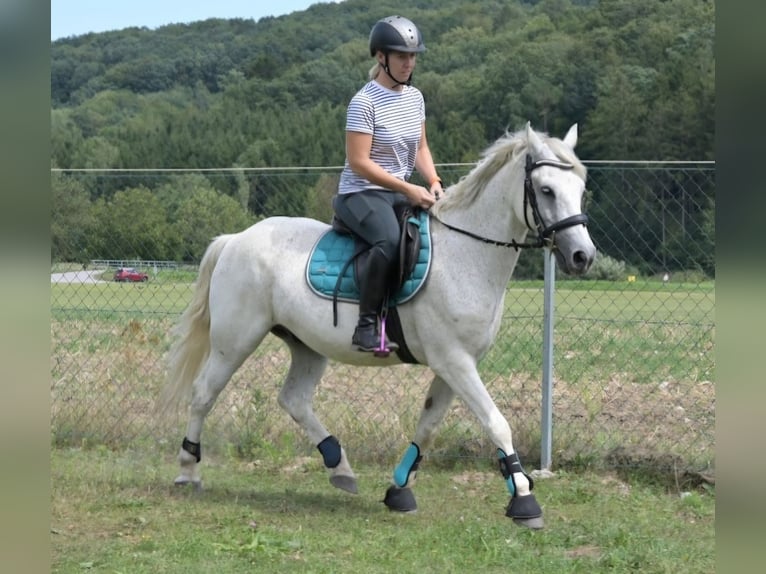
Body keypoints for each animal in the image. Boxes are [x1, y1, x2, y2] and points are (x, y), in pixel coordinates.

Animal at [159, 121, 596, 532]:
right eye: (545, 190)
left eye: (580, 187)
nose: (582, 256)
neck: (465, 254)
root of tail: (235, 239)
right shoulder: (454, 361)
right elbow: (497, 423)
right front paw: (524, 500)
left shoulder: (454, 365)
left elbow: (428, 425)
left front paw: (399, 490)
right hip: (234, 341)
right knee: (204, 394)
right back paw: (187, 471)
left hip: (307, 345)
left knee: (294, 400)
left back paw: (340, 467)